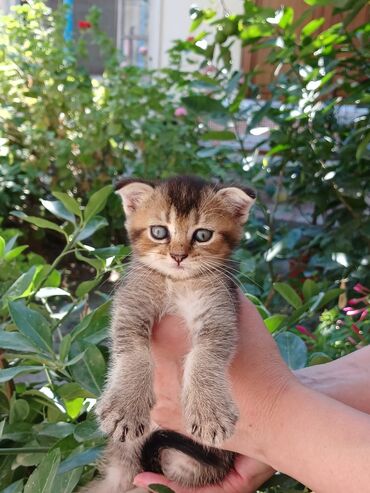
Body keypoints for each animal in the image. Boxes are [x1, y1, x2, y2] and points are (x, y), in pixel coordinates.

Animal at [90, 175, 258, 490]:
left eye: (202, 235)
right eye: (159, 232)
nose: (178, 256)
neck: (177, 283)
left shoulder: (220, 311)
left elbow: (206, 355)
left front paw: (209, 412)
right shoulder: (131, 303)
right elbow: (134, 352)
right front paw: (126, 407)